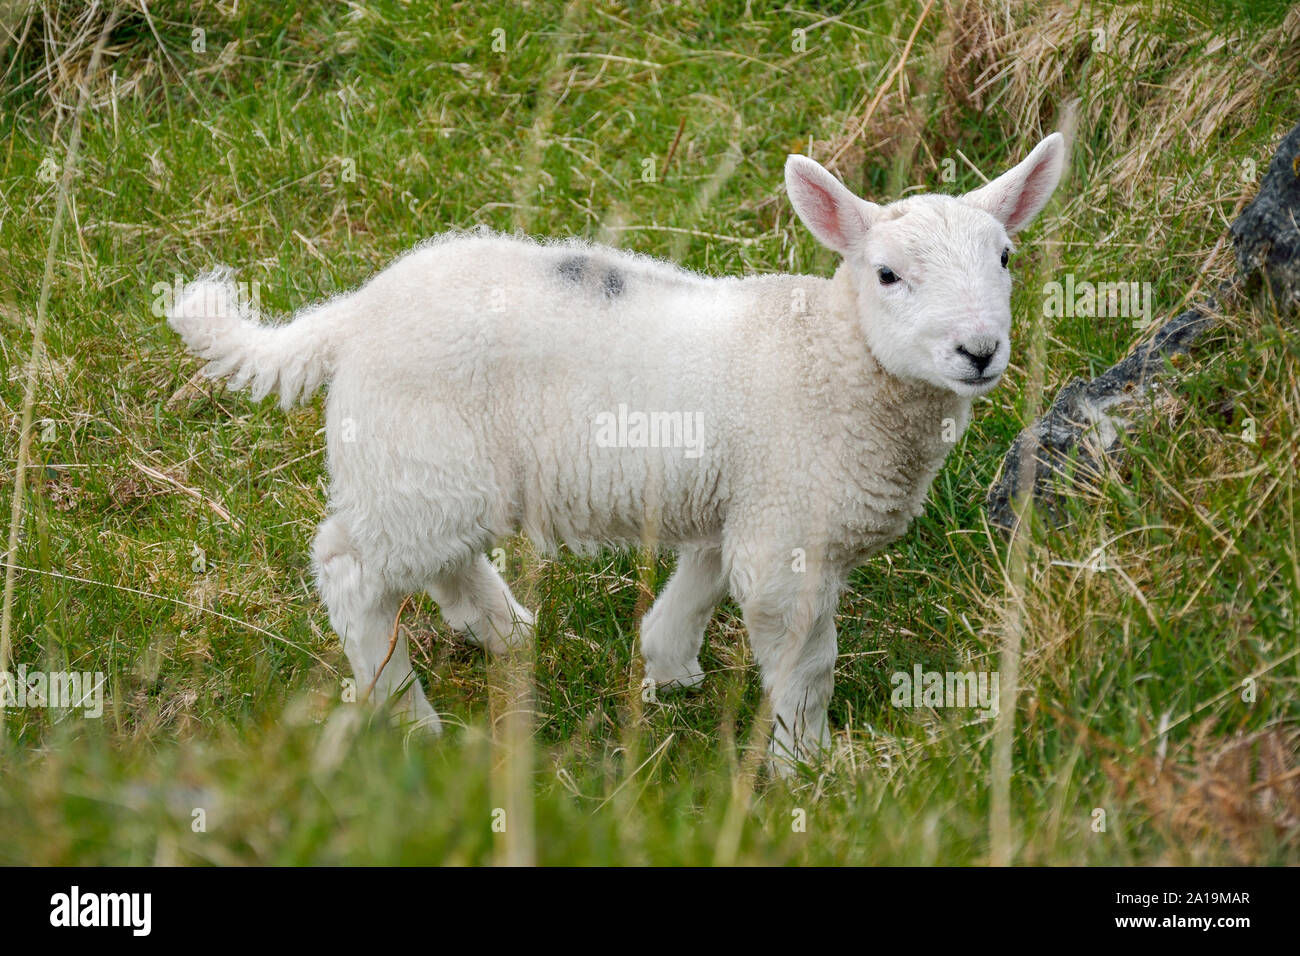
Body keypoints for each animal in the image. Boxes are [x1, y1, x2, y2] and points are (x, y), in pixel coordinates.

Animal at [167, 134, 1066, 775]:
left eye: (1006, 260)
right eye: (886, 275)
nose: (980, 351)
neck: (834, 354)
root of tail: (355, 314)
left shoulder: (745, 499)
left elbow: (698, 584)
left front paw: (668, 668)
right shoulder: (789, 532)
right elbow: (806, 665)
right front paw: (805, 767)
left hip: (435, 470)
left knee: (442, 560)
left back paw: (503, 630)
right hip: (412, 460)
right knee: (352, 571)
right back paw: (408, 718)